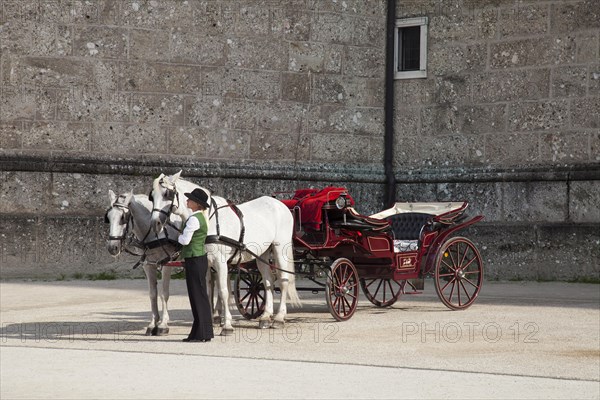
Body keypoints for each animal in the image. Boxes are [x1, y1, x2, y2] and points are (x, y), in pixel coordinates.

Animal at [105, 190, 182, 334]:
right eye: (108, 217)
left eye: (123, 217)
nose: (112, 247)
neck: (156, 232)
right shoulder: (148, 264)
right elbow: (152, 294)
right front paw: (153, 323)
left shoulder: (167, 262)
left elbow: (164, 293)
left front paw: (163, 324)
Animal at [150, 170, 300, 332]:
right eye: (151, 196)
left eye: (167, 194)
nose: (155, 223)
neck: (208, 219)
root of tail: (279, 204)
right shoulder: (207, 263)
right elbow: (210, 290)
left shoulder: (220, 262)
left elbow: (223, 291)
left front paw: (227, 324)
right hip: (263, 253)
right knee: (268, 281)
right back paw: (266, 316)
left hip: (280, 248)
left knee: (283, 280)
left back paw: (279, 317)